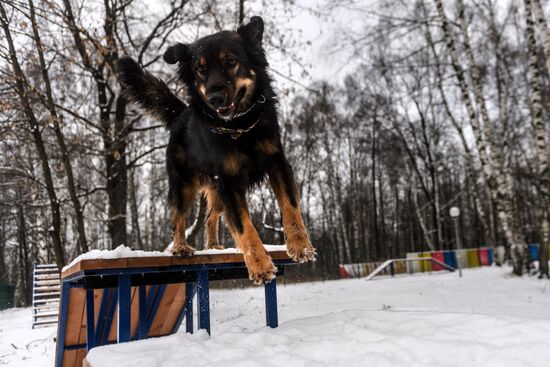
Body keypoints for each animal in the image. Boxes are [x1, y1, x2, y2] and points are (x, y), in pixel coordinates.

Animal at [118, 16, 316, 284]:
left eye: (231, 62)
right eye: (200, 69)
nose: (215, 99)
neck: (239, 126)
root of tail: (180, 114)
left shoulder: (277, 163)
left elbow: (290, 206)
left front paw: (300, 246)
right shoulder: (229, 183)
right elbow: (244, 226)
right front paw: (259, 265)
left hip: (216, 191)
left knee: (210, 216)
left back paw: (213, 246)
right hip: (184, 183)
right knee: (177, 217)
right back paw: (180, 247)